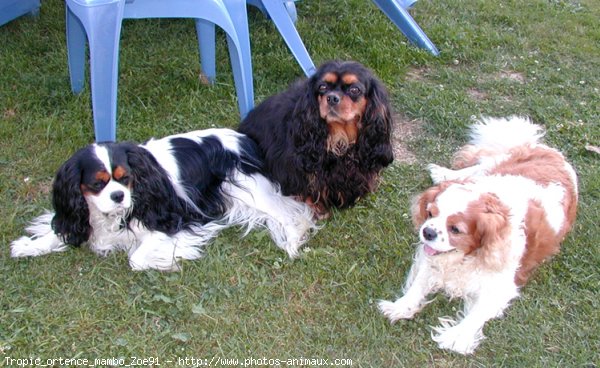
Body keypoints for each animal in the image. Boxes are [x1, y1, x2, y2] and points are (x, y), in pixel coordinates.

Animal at [10, 129, 318, 270]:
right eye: (98, 183)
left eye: (125, 178)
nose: (119, 196)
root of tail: (243, 138)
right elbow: (59, 231)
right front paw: (29, 246)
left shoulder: (171, 220)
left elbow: (136, 258)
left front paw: (169, 260)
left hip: (246, 188)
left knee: (293, 214)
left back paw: (292, 241)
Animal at [378, 117, 580, 354]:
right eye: (430, 213)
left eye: (455, 229)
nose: (427, 231)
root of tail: (551, 152)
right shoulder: (430, 258)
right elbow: (418, 284)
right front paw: (400, 306)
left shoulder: (501, 286)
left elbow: (477, 314)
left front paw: (457, 336)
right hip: (494, 164)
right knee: (475, 166)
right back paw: (443, 173)